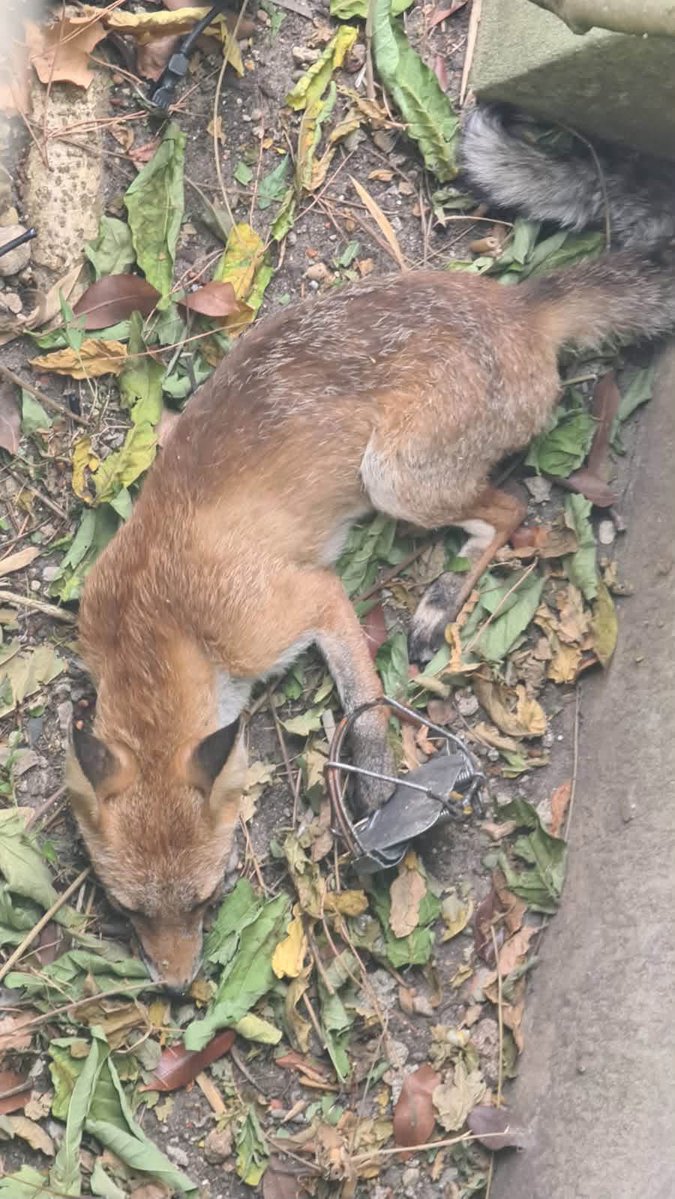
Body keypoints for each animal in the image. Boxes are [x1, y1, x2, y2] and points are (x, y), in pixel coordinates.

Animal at [67, 116, 675, 993]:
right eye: (130, 910)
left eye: (207, 897)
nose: (178, 987)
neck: (160, 622)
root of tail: (516, 304)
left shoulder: (302, 602)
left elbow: (364, 700)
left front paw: (375, 772)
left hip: (395, 480)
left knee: (509, 512)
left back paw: (437, 605)